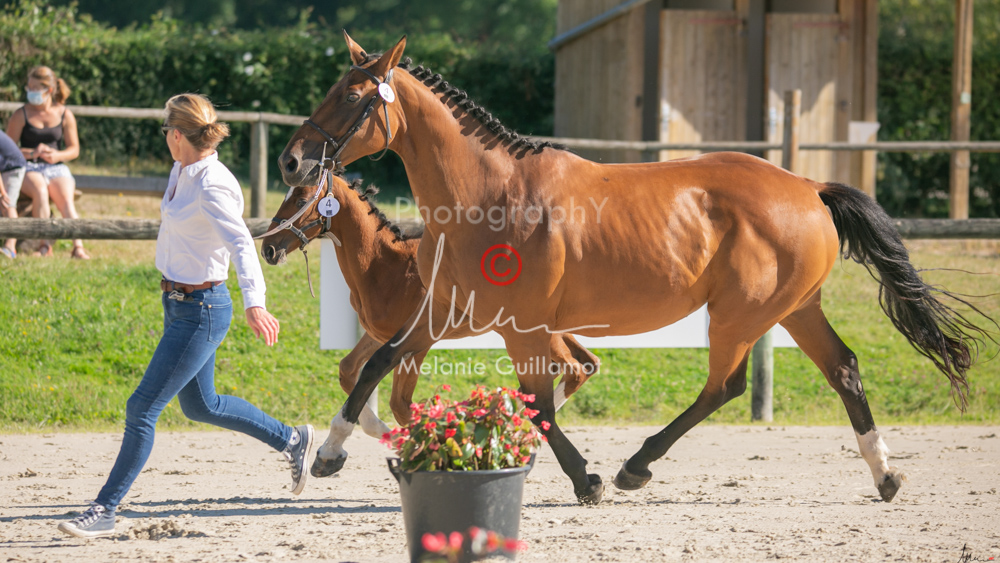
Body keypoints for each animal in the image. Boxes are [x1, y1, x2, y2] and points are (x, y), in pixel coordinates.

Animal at [259, 171, 600, 477]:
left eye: (301, 201)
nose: (268, 249)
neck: (383, 265)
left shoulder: (418, 342)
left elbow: (400, 404)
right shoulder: (378, 334)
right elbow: (349, 370)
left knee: (575, 369)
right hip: (551, 329)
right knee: (587, 362)